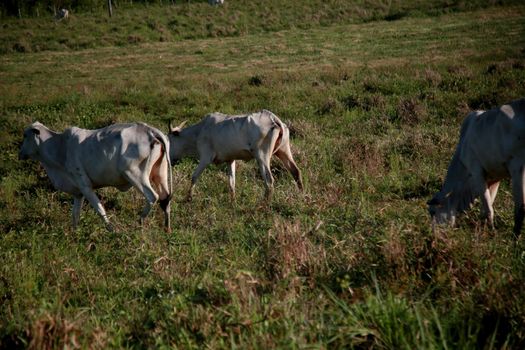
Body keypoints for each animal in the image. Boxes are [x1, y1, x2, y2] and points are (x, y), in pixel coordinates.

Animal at [18, 121, 172, 231]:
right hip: (160, 173)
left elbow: (99, 209)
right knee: (165, 198)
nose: (20, 154)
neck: (60, 147)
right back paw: (167, 229)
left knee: (152, 197)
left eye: (25, 136)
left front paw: (111, 230)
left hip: (134, 174)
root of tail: (149, 130)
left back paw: (139, 223)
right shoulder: (78, 193)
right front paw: (74, 234)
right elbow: (75, 215)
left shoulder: (85, 186)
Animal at [168, 109, 302, 202]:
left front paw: (188, 198)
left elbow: (194, 177)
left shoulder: (205, 158)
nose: (169, 160)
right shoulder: (230, 160)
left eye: (169, 140)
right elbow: (231, 182)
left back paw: (264, 203)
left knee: (269, 180)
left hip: (262, 156)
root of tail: (274, 119)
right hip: (284, 151)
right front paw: (233, 201)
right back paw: (302, 195)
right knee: (296, 171)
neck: (198, 132)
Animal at [428, 97, 524, 237]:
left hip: (518, 167)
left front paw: (491, 232)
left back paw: (515, 236)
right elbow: (487, 206)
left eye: (433, 212)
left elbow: (488, 208)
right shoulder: (494, 178)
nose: (433, 234)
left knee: (520, 207)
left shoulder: (477, 172)